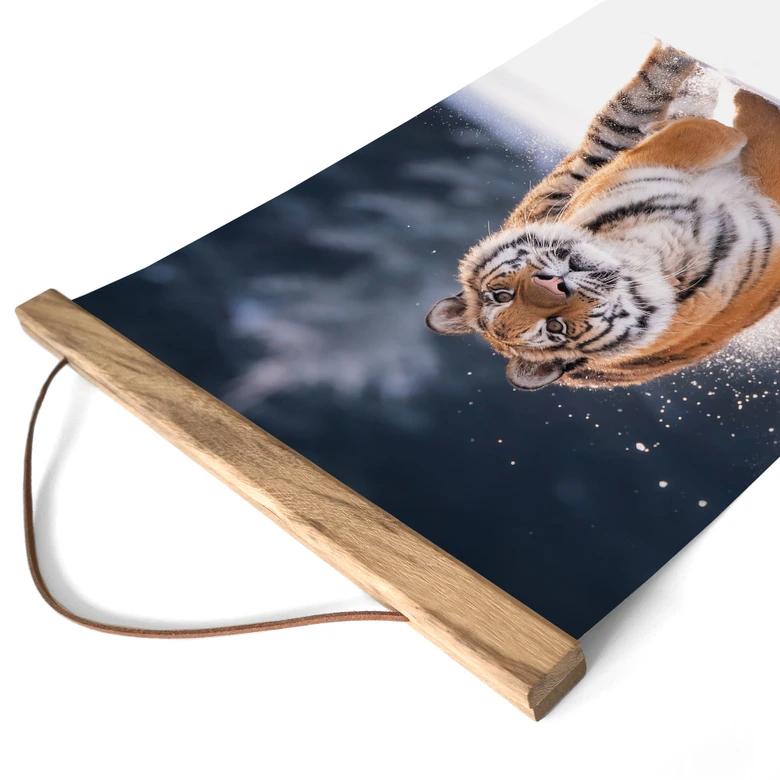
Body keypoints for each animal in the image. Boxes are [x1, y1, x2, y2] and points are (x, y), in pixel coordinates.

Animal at [426, 42, 780, 390]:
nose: (553, 284)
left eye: (502, 296)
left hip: (613, 130)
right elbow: (750, 134)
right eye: (555, 328)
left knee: (651, 85)